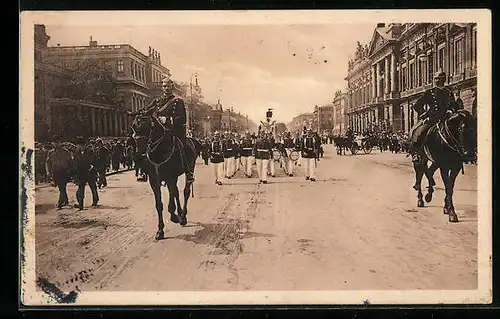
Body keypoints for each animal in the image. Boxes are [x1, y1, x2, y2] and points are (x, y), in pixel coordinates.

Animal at [130, 112, 202, 240]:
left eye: (147, 127)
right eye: (134, 128)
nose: (138, 156)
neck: (159, 150)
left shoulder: (170, 177)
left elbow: (174, 194)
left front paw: (174, 216)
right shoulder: (154, 181)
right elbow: (159, 204)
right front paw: (160, 230)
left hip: (188, 170)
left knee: (185, 191)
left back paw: (183, 216)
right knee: (176, 192)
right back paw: (177, 213)